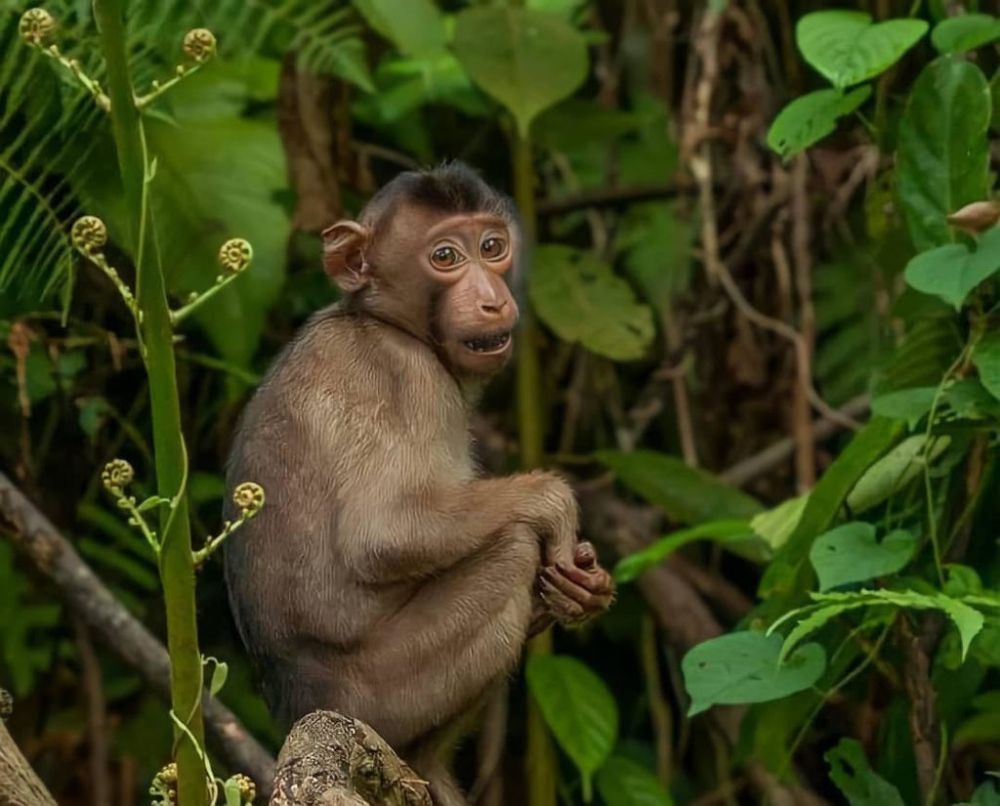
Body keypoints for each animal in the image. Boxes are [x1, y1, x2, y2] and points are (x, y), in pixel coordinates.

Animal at [226, 161, 612, 804]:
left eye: (492, 247)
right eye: (446, 256)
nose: (491, 299)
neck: (380, 318)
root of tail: (295, 706)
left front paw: (586, 588)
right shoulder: (407, 376)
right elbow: (385, 534)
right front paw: (553, 503)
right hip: (381, 692)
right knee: (512, 548)